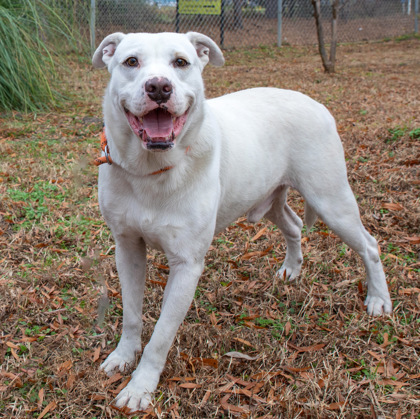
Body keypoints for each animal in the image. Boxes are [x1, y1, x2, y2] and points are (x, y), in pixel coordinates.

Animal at [92, 32, 394, 414]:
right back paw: (291, 269)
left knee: (369, 245)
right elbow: (132, 314)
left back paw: (378, 300)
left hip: (332, 203)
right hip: (269, 198)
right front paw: (122, 356)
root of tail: (316, 103)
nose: (159, 87)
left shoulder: (186, 266)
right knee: (294, 225)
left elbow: (161, 336)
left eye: (181, 62)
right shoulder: (128, 248)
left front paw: (141, 386)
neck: (151, 170)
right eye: (131, 62)